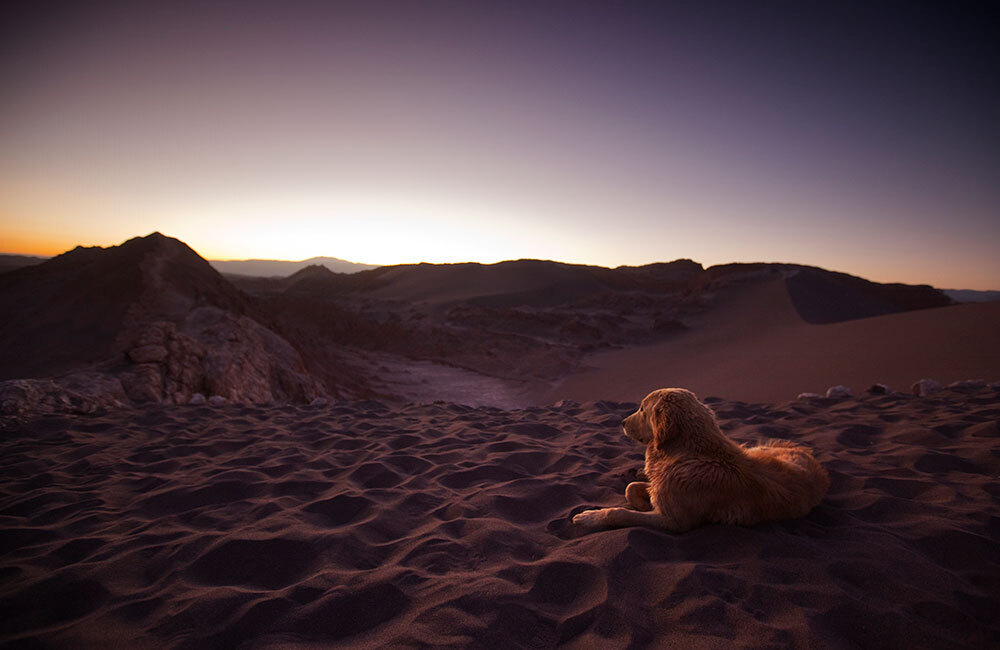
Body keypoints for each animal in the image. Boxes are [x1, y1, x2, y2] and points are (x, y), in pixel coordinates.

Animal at [572, 388, 828, 528]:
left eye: (642, 409)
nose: (622, 422)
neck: (688, 453)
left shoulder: (674, 520)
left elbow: (618, 512)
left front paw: (589, 517)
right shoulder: (662, 487)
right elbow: (631, 487)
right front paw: (641, 499)